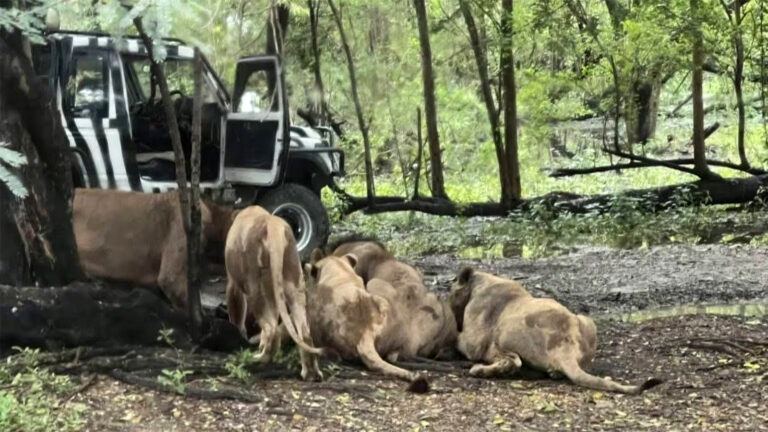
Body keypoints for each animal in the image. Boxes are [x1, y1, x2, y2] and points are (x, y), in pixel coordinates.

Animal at [225, 206, 322, 381]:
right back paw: (311, 373)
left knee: (272, 329)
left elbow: (237, 313)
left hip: (254, 286)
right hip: (293, 280)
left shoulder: (233, 282)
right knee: (304, 333)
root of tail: (273, 225)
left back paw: (259, 359)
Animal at [449, 267, 662, 394]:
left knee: (513, 362)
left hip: (509, 328)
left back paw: (478, 370)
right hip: (587, 321)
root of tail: (567, 344)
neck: (481, 283)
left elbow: (458, 339)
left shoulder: (472, 342)